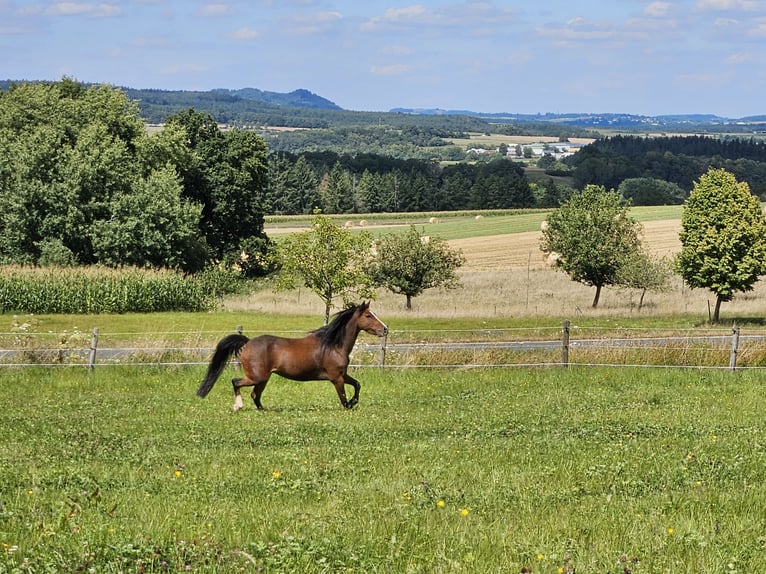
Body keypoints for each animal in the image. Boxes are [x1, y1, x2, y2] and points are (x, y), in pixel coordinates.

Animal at [197, 302, 388, 411]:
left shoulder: (343, 374)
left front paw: (355, 401)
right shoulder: (336, 378)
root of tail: (247, 342)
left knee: (255, 395)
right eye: (368, 315)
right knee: (236, 382)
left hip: (263, 378)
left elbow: (357, 384)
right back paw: (238, 406)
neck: (334, 345)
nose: (385, 329)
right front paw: (350, 405)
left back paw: (263, 410)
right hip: (257, 376)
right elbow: (343, 398)